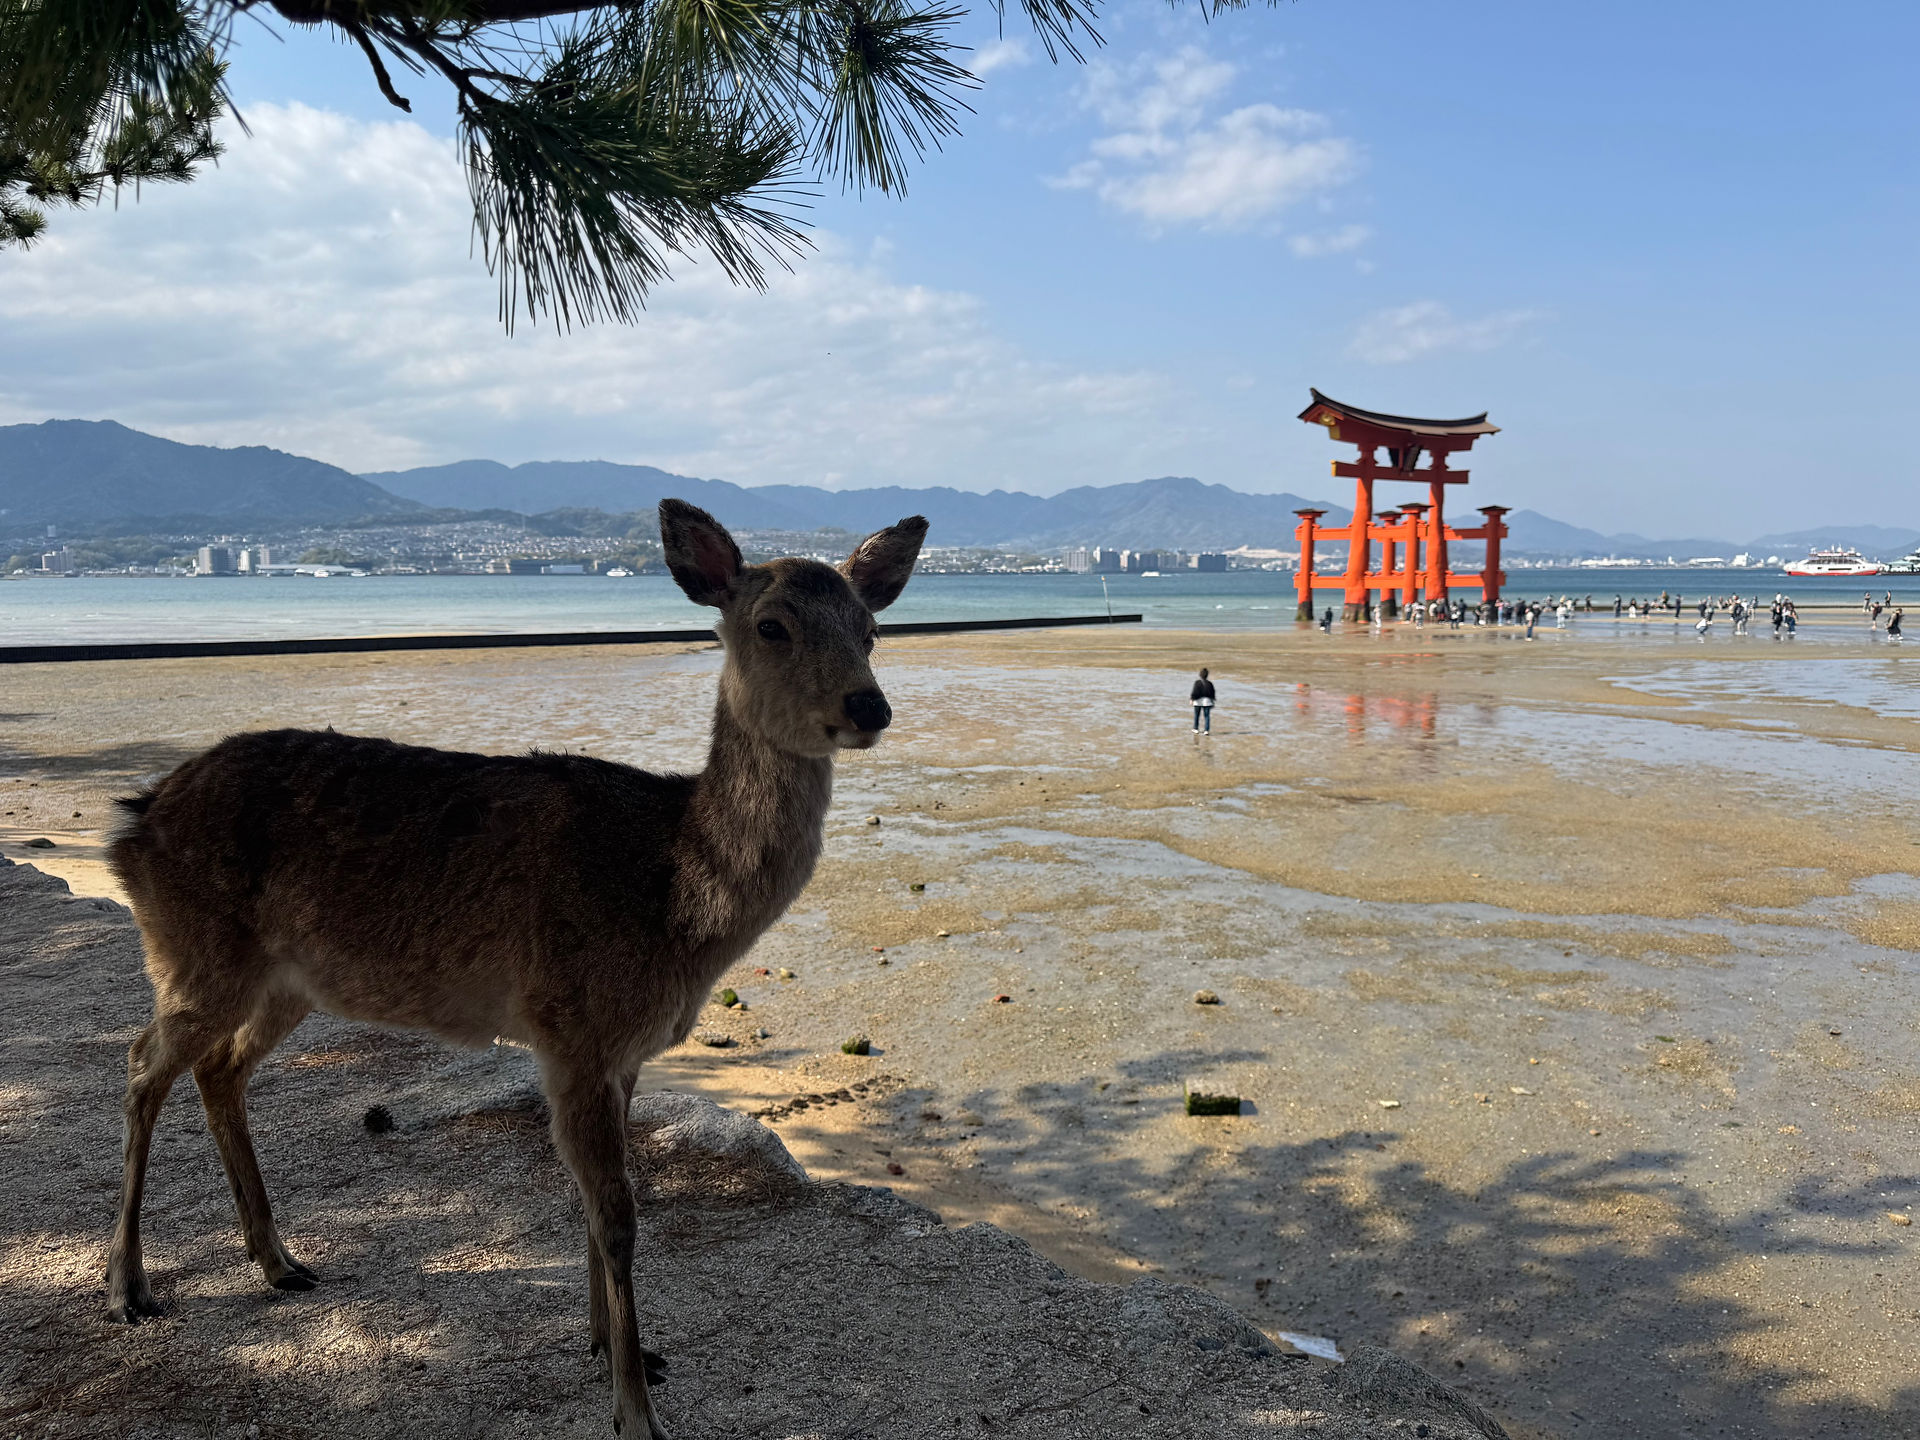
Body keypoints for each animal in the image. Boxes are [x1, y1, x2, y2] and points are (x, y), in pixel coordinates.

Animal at [103, 499, 928, 1440]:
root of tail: (132, 822)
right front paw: (635, 1410)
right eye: (772, 625)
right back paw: (128, 1287)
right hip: (196, 954)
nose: (869, 705)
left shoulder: (619, 1050)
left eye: (871, 629)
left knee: (217, 1068)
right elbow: (617, 1212)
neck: (675, 898)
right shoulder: (570, 1026)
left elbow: (594, 1197)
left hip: (284, 982)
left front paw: (615, 1348)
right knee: (141, 1063)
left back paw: (279, 1261)